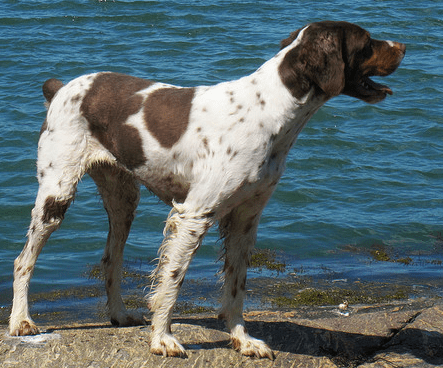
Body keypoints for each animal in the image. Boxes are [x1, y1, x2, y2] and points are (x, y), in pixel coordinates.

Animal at [9, 20, 406, 360]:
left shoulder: (245, 219)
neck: (272, 110)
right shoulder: (194, 214)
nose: (404, 46)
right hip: (56, 195)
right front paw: (163, 339)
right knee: (23, 260)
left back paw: (120, 315)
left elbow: (235, 288)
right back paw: (21, 322)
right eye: (367, 41)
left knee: (111, 259)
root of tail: (61, 87)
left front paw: (243, 341)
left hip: (123, 199)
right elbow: (171, 283)